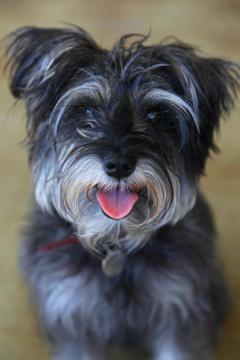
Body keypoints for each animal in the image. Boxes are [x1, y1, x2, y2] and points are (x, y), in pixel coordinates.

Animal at [4, 26, 240, 360]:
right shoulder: (74, 314)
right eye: (87, 109)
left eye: (156, 116)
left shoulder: (179, 310)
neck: (115, 242)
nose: (118, 165)